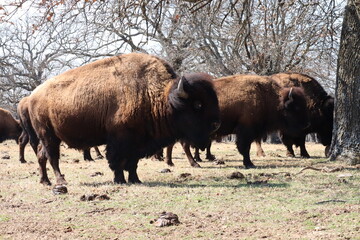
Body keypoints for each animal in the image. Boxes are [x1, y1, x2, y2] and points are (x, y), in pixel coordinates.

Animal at [26, 52, 219, 185]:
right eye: (198, 105)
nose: (216, 124)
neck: (156, 95)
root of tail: (33, 96)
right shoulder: (120, 140)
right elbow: (117, 161)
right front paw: (119, 180)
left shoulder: (138, 142)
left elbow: (132, 163)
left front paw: (135, 180)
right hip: (48, 136)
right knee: (52, 157)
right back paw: (61, 181)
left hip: (49, 137)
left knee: (41, 155)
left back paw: (45, 181)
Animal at [162, 74, 308, 168]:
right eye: (295, 107)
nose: (306, 124)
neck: (267, 97)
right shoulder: (245, 131)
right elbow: (245, 147)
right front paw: (249, 163)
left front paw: (248, 162)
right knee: (184, 145)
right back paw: (194, 164)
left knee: (174, 145)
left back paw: (170, 162)